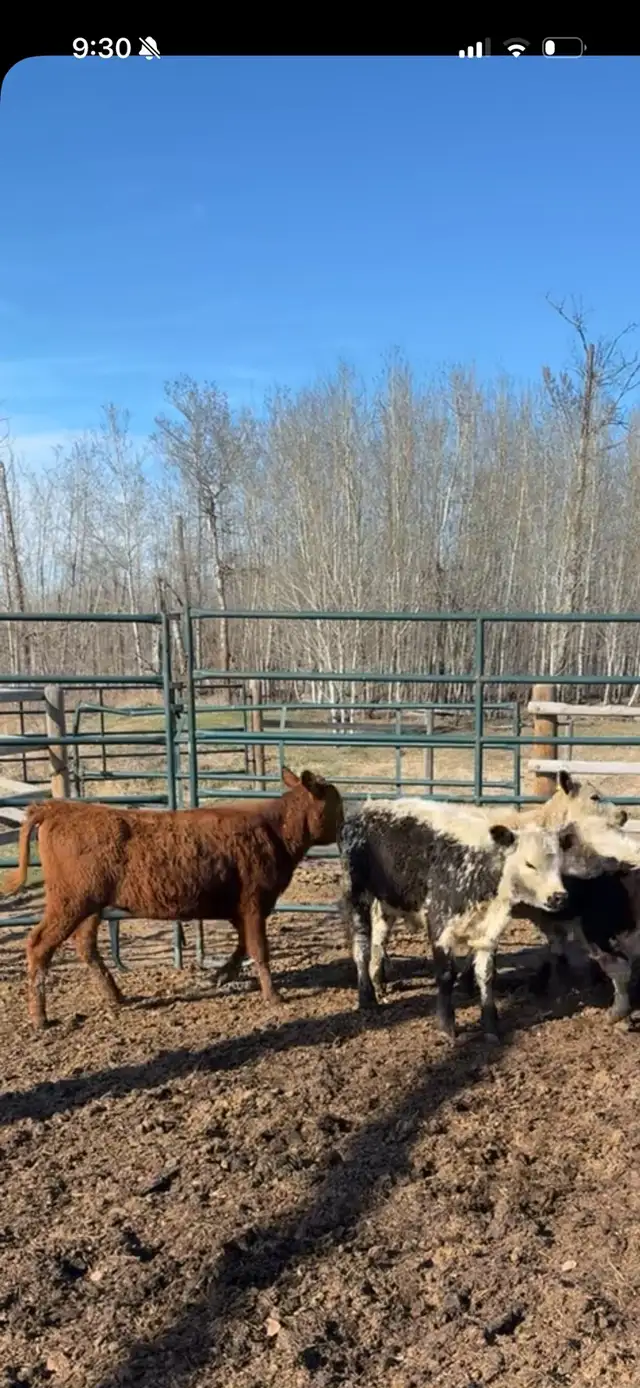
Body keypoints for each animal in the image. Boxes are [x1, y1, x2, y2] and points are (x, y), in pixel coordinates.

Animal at [1, 768, 343, 1030]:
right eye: (337, 804)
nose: (345, 827)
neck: (275, 830)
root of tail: (57, 808)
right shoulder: (254, 903)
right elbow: (259, 950)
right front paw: (273, 996)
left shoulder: (239, 909)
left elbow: (243, 946)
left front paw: (219, 976)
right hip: (69, 902)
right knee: (39, 946)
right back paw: (40, 1018)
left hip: (90, 906)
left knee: (85, 946)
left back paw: (116, 996)